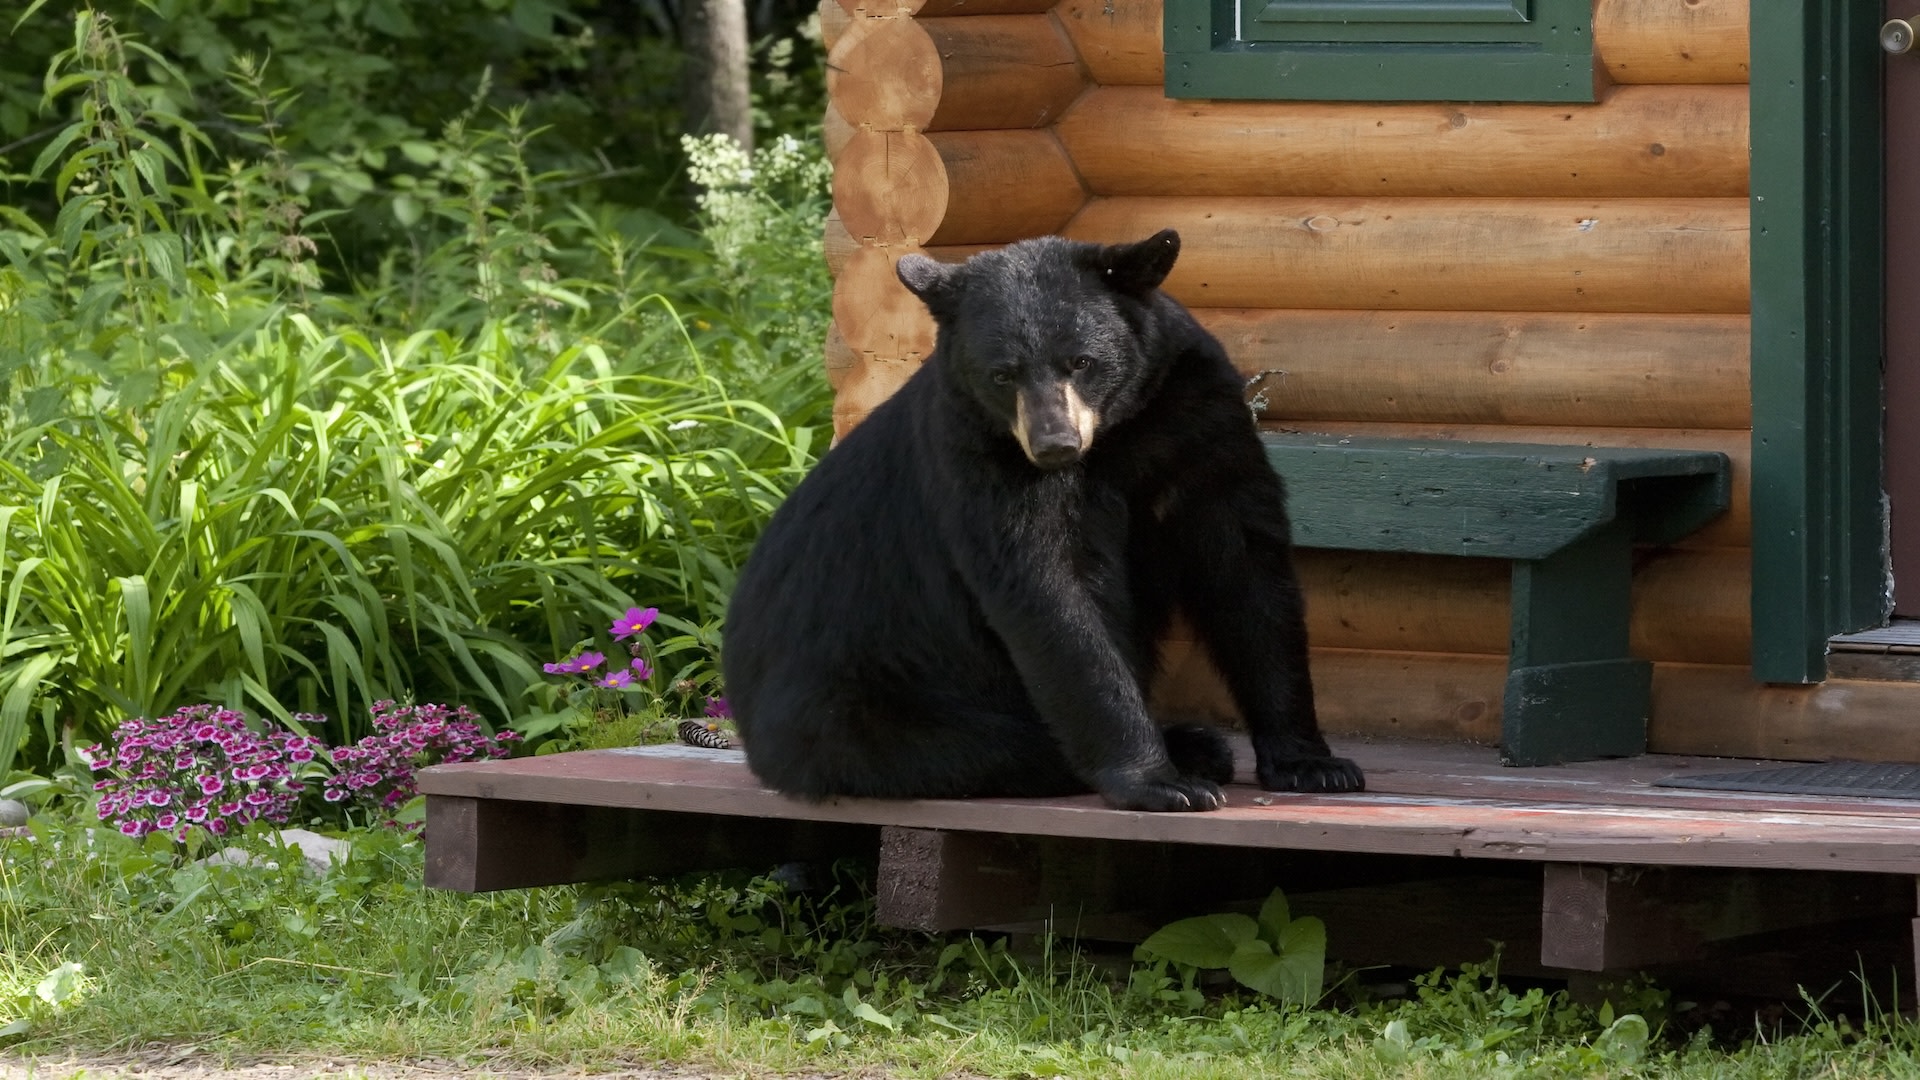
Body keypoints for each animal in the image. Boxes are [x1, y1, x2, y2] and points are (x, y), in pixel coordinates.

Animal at [722, 230, 1364, 811]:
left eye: (1081, 362)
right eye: (1002, 374)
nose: (1055, 444)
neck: (1114, 437)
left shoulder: (1197, 420)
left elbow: (1246, 571)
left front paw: (1313, 762)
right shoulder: (979, 457)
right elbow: (1054, 595)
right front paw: (1159, 782)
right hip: (864, 700)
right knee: (978, 746)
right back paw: (1188, 749)